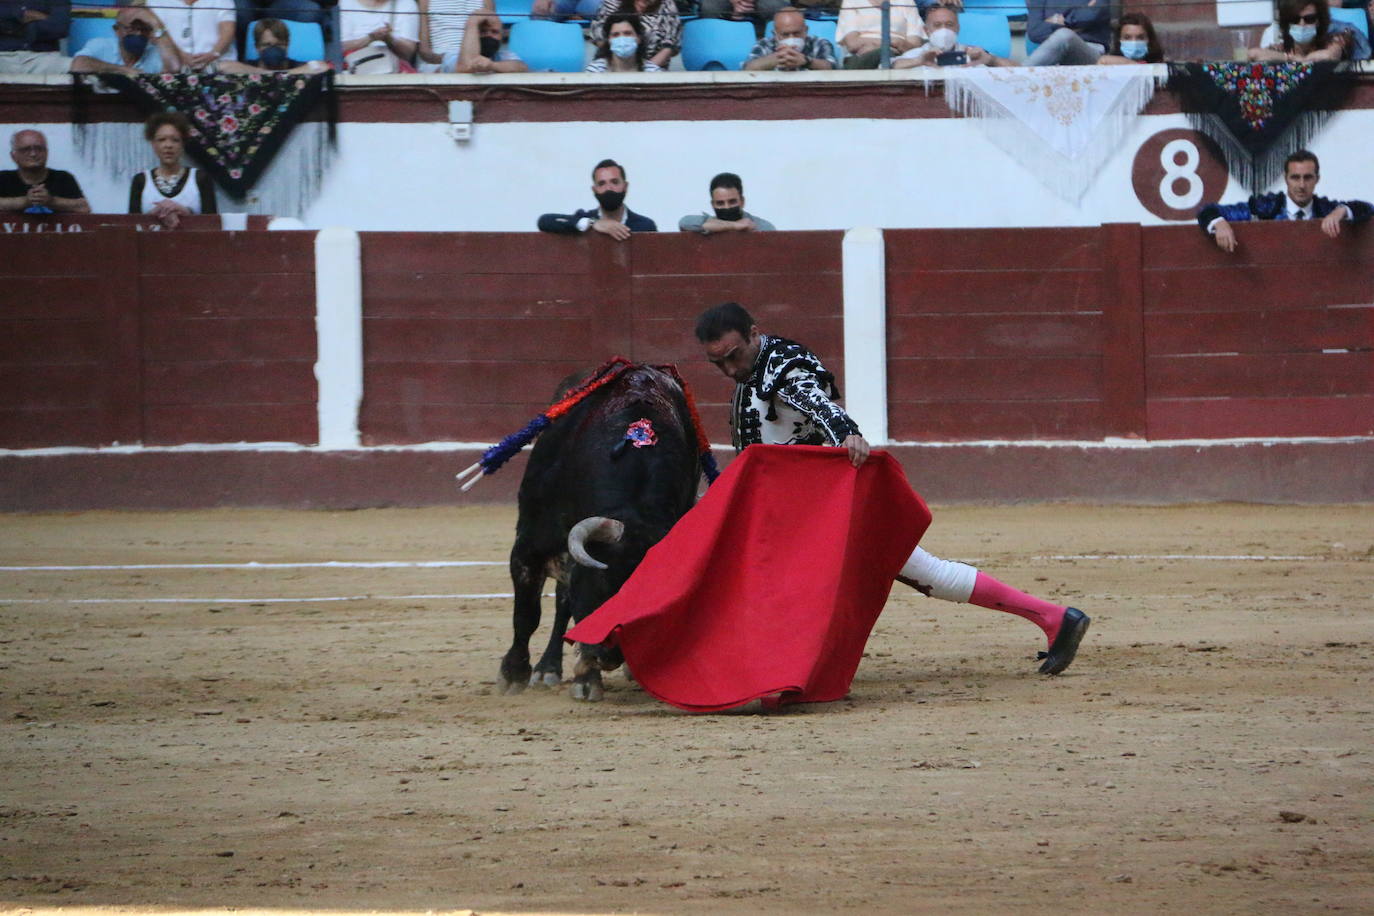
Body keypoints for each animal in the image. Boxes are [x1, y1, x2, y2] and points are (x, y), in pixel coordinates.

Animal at [500, 365, 703, 703]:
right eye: (602, 585)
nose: (608, 657)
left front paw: (587, 676)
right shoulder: (529, 546)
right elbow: (527, 613)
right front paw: (513, 674)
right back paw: (547, 669)